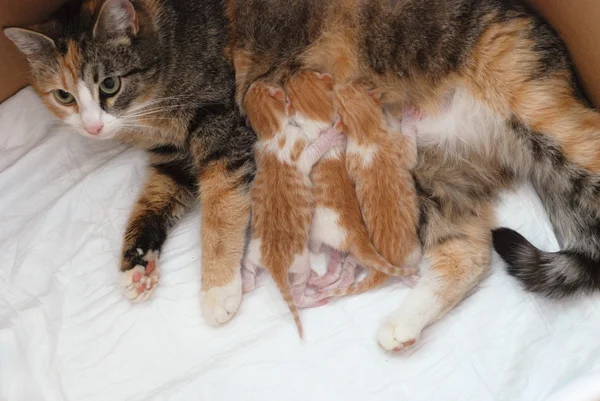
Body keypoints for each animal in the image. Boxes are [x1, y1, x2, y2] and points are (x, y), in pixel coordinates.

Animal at [4, 0, 255, 324]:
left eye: (110, 84)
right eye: (63, 96)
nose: (93, 127)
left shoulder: (220, 120)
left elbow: (221, 198)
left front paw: (218, 286)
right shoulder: (172, 157)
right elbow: (155, 196)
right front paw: (136, 263)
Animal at [240, 80, 342, 334]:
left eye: (256, 87)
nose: (257, 81)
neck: (272, 132)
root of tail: (275, 265)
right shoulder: (301, 149)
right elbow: (315, 148)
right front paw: (332, 136)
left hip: (252, 252)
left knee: (249, 275)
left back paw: (245, 283)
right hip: (301, 262)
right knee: (297, 294)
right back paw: (310, 296)